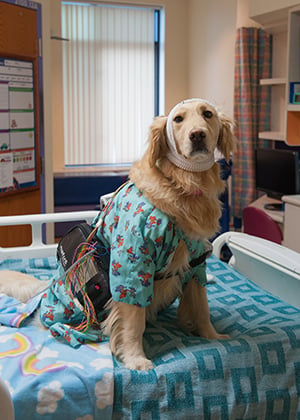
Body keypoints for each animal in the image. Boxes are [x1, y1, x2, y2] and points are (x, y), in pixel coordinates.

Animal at [0, 98, 234, 370]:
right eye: (178, 119)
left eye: (207, 114)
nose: (197, 135)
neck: (181, 185)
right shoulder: (132, 264)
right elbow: (132, 321)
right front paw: (135, 358)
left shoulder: (196, 261)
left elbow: (201, 305)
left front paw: (211, 335)